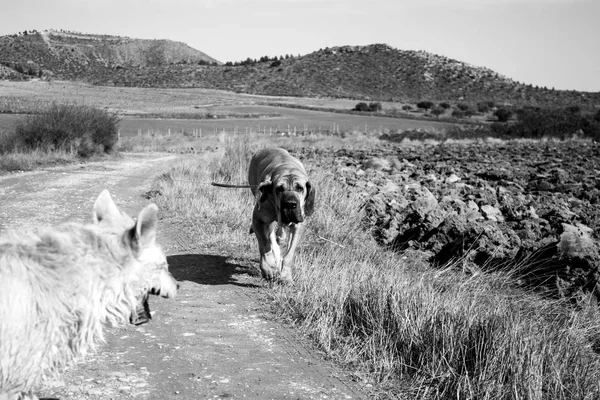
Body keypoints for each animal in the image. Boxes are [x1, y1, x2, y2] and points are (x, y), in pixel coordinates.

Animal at [247, 148, 316, 282]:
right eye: (279, 189)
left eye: (300, 188)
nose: (290, 204)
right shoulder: (258, 220)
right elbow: (265, 245)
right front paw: (268, 268)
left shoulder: (299, 226)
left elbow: (290, 254)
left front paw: (286, 276)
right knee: (271, 237)